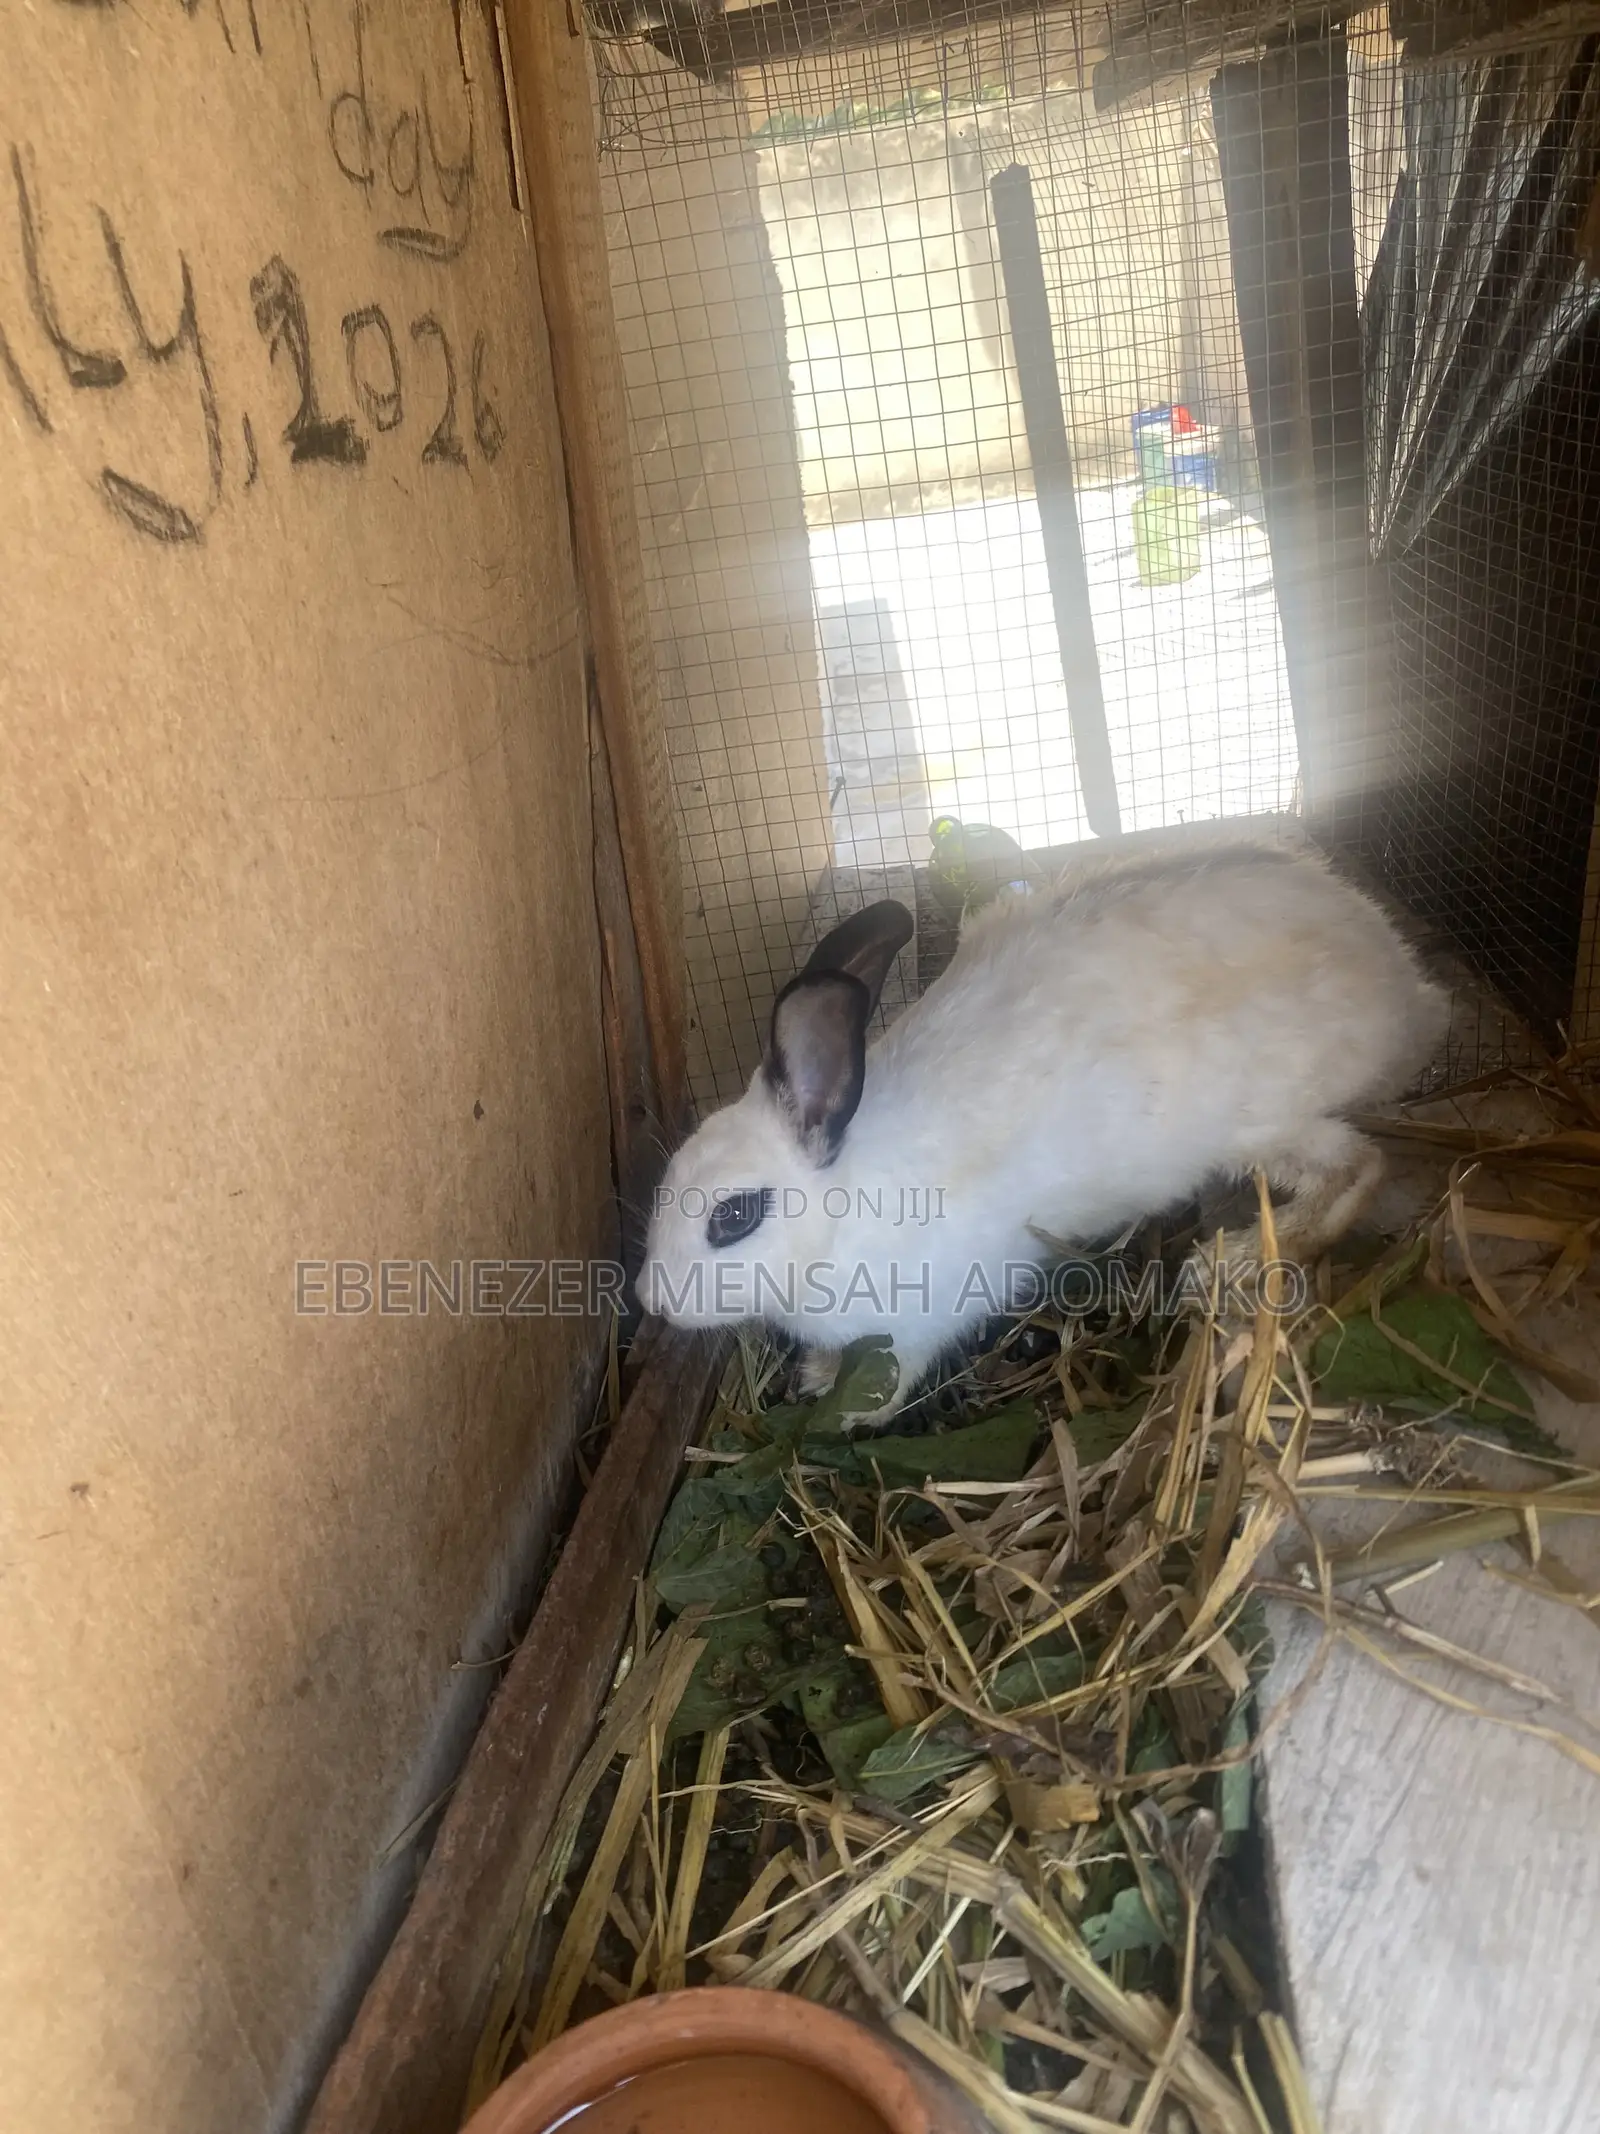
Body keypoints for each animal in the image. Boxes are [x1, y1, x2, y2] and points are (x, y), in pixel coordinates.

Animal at [639, 828, 1448, 1427]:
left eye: (736, 1216)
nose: (652, 1302)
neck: (841, 1213)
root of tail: (1407, 993)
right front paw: (815, 1376)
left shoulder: (923, 1314)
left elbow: (895, 1372)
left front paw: (854, 1413)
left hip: (1263, 1123)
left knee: (1358, 1169)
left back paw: (1231, 1263)